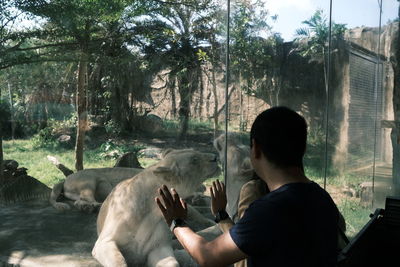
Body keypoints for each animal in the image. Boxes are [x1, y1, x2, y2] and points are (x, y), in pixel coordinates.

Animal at [92, 150, 220, 266]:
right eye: (194, 160)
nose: (215, 157)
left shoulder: (158, 244)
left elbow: (170, 262)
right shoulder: (106, 240)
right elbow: (117, 259)